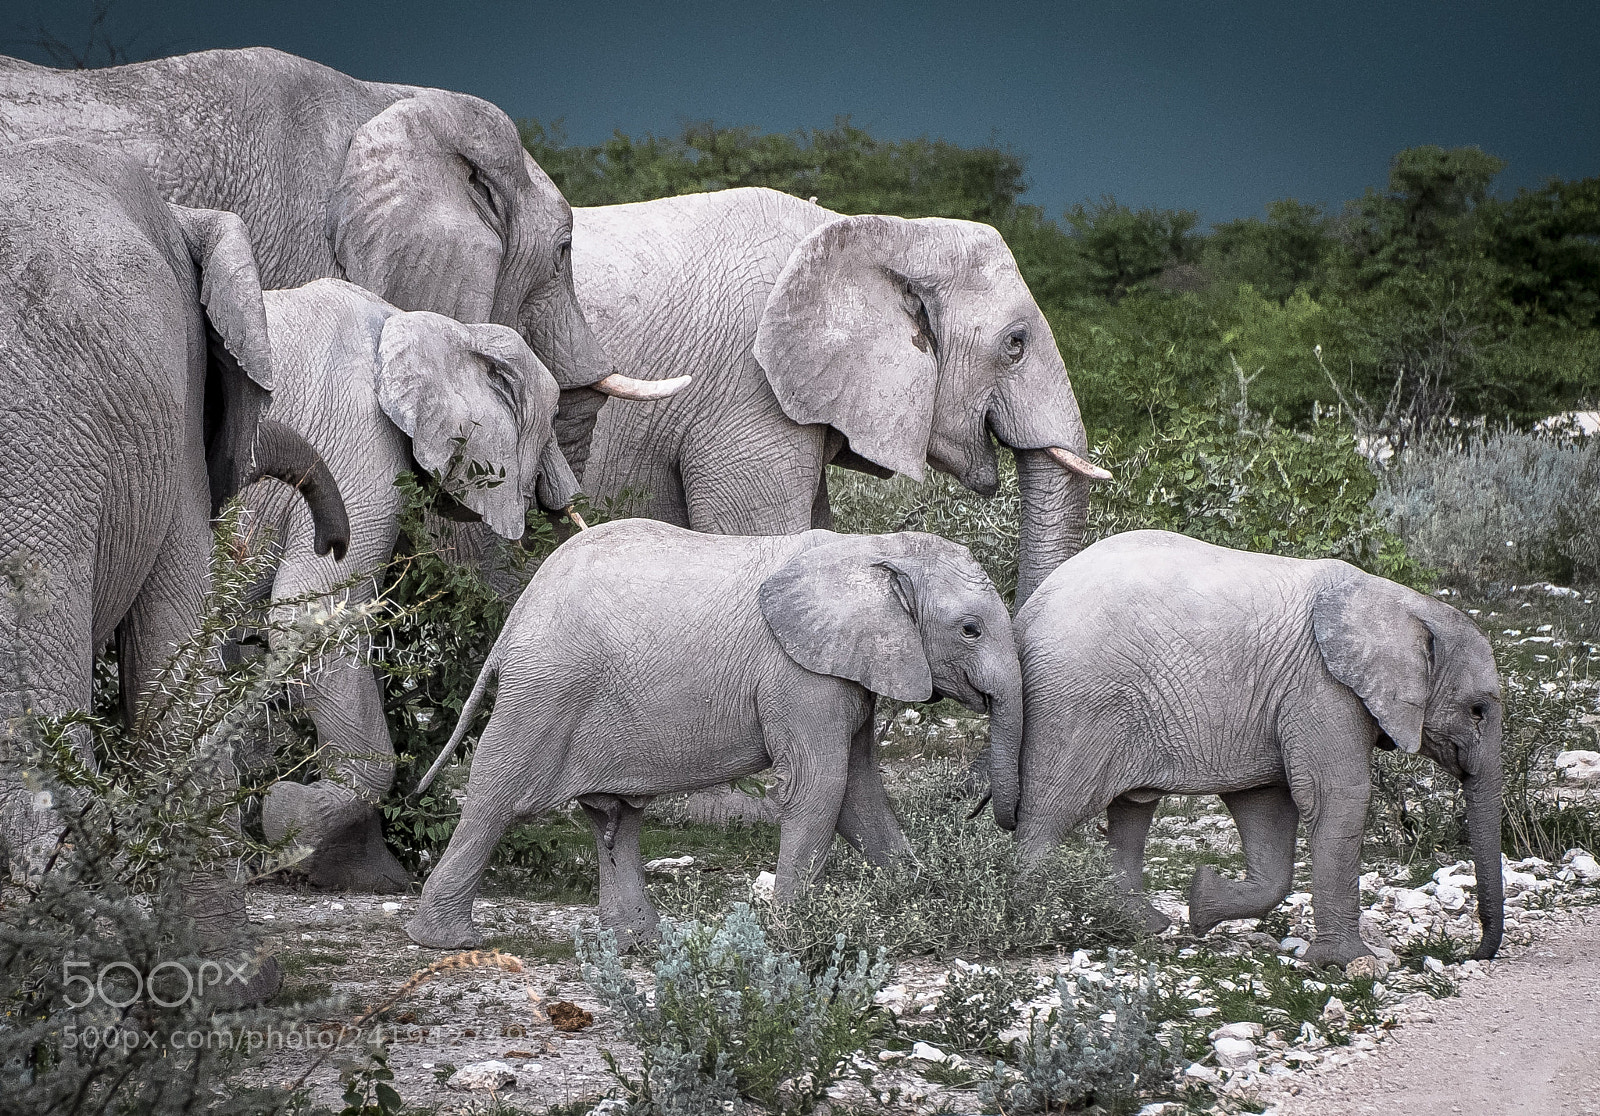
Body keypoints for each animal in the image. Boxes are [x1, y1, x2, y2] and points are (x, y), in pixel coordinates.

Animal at [238, 278, 580, 892]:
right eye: (553, 418)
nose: (567, 496)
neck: (424, 325)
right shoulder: (355, 447)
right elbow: (314, 614)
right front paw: (292, 825)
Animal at [402, 519, 1022, 950]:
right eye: (970, 629)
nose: (982, 815)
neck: (871, 548)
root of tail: (519, 612)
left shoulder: (851, 668)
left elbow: (859, 793)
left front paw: (926, 900)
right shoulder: (798, 674)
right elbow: (821, 788)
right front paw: (791, 937)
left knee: (615, 815)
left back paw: (641, 946)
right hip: (545, 688)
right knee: (497, 798)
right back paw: (445, 941)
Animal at [1004, 530, 1504, 969]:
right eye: (1477, 710)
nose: (1472, 955)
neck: (1407, 604)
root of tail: (1025, 613)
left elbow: (1267, 810)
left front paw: (1201, 903)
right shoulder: (1322, 688)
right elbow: (1338, 797)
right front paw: (1346, 964)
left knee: (1131, 812)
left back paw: (1143, 926)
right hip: (1075, 707)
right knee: (1050, 816)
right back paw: (1031, 926)